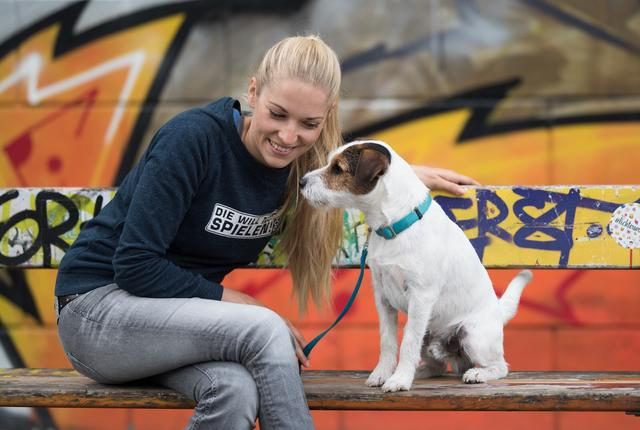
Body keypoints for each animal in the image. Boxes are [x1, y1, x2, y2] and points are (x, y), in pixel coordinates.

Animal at [300, 140, 528, 394]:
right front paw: (383, 374)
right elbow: (388, 341)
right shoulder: (382, 297)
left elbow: (407, 342)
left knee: (500, 366)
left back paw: (477, 374)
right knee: (439, 365)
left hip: (472, 334)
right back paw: (420, 372)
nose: (301, 182)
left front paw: (399, 380)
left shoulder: (421, 296)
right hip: (430, 335)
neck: (396, 226)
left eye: (338, 169)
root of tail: (498, 311)